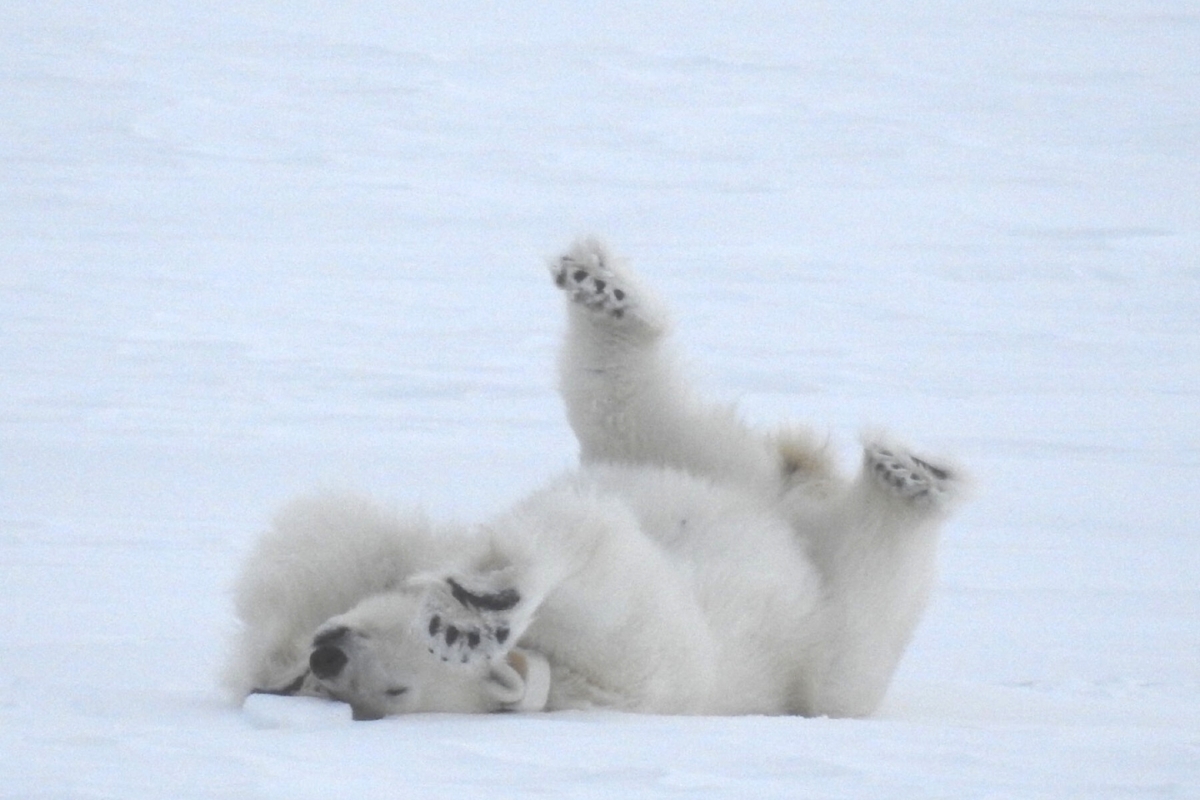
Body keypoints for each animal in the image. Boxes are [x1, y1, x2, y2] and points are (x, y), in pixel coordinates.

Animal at [223, 236, 964, 719]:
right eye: (334, 696)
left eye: (398, 688)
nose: (327, 658)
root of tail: (791, 499)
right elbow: (312, 546)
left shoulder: (632, 653)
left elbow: (592, 564)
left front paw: (475, 615)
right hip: (687, 462)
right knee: (627, 401)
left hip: (825, 648)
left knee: (861, 620)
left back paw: (912, 476)